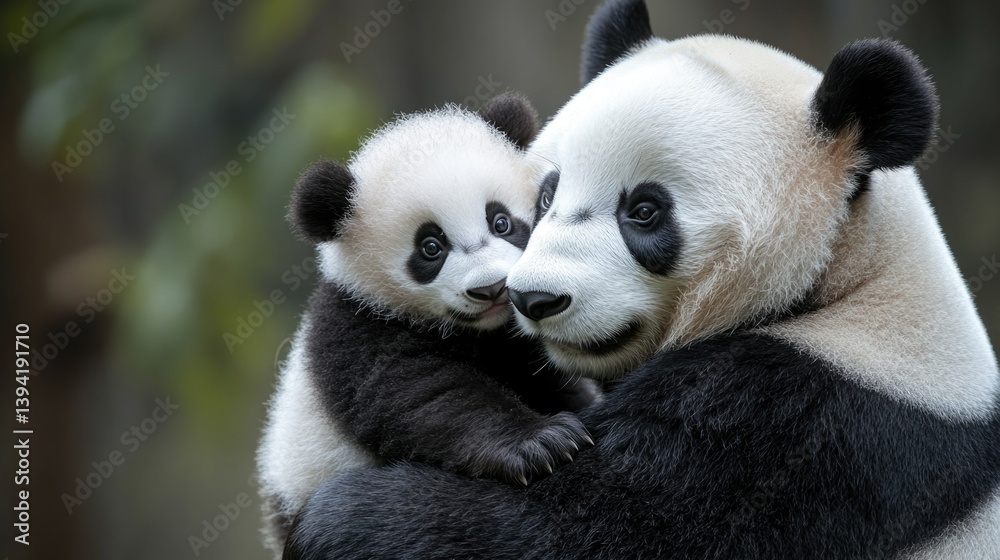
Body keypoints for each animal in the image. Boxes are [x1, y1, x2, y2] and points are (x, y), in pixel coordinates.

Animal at [256, 94, 597, 558]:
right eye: (431, 247)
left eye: (501, 222)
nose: (491, 289)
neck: (477, 331)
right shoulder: (358, 326)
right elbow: (423, 393)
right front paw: (543, 443)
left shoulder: (514, 338)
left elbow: (551, 376)